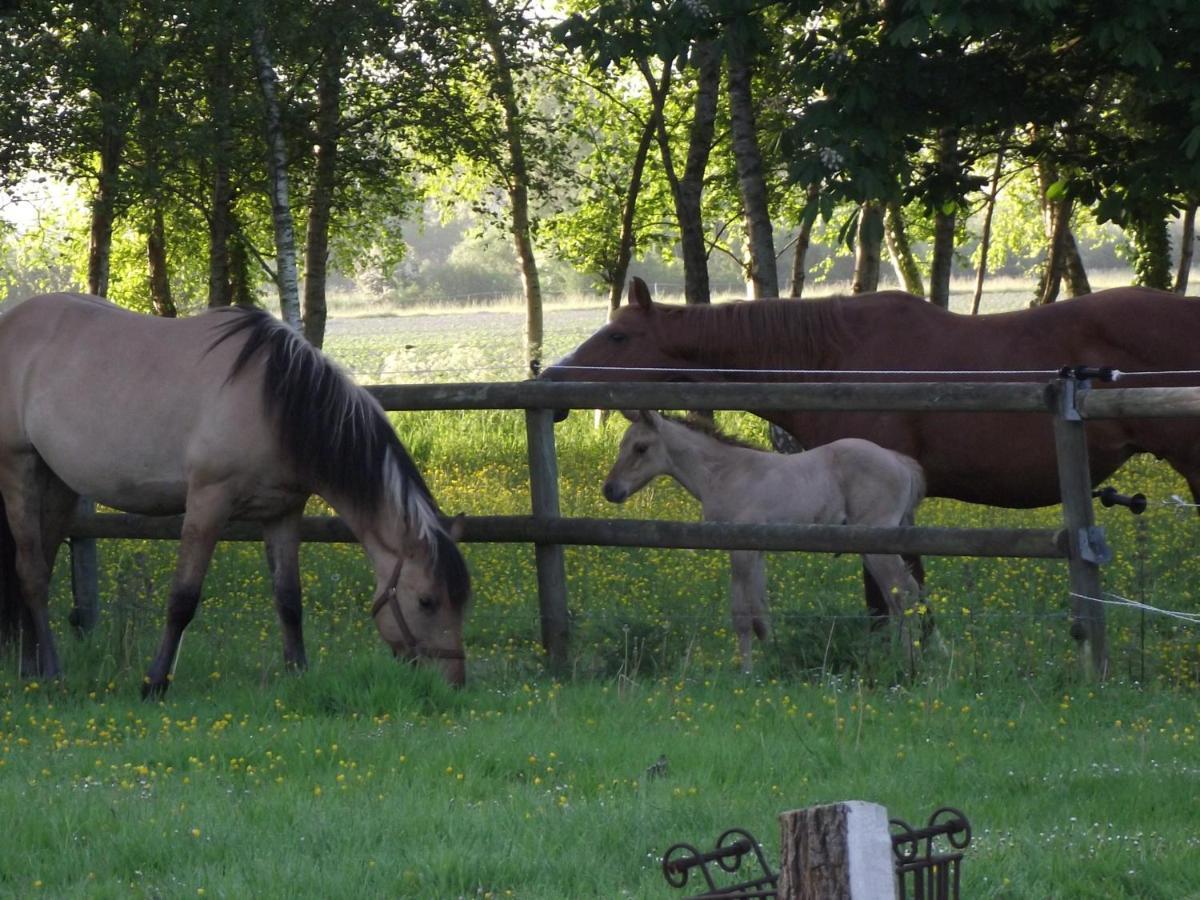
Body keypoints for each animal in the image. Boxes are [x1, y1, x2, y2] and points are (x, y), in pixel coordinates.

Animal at [0, 296, 470, 696]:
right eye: (426, 601)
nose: (453, 682)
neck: (273, 402)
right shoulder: (208, 503)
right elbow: (182, 600)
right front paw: (155, 682)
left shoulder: (283, 513)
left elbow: (289, 598)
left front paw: (298, 673)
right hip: (19, 467)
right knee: (33, 574)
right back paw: (52, 673)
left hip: (57, 482)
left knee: (36, 565)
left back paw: (30, 668)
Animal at [604, 412, 921, 672]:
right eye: (621, 444)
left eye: (641, 447)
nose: (610, 490)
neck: (725, 473)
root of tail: (898, 461)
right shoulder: (756, 551)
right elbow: (760, 614)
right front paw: (773, 661)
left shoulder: (741, 549)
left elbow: (743, 616)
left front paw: (746, 672)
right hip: (869, 546)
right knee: (898, 595)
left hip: (877, 543)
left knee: (903, 594)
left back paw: (907, 663)